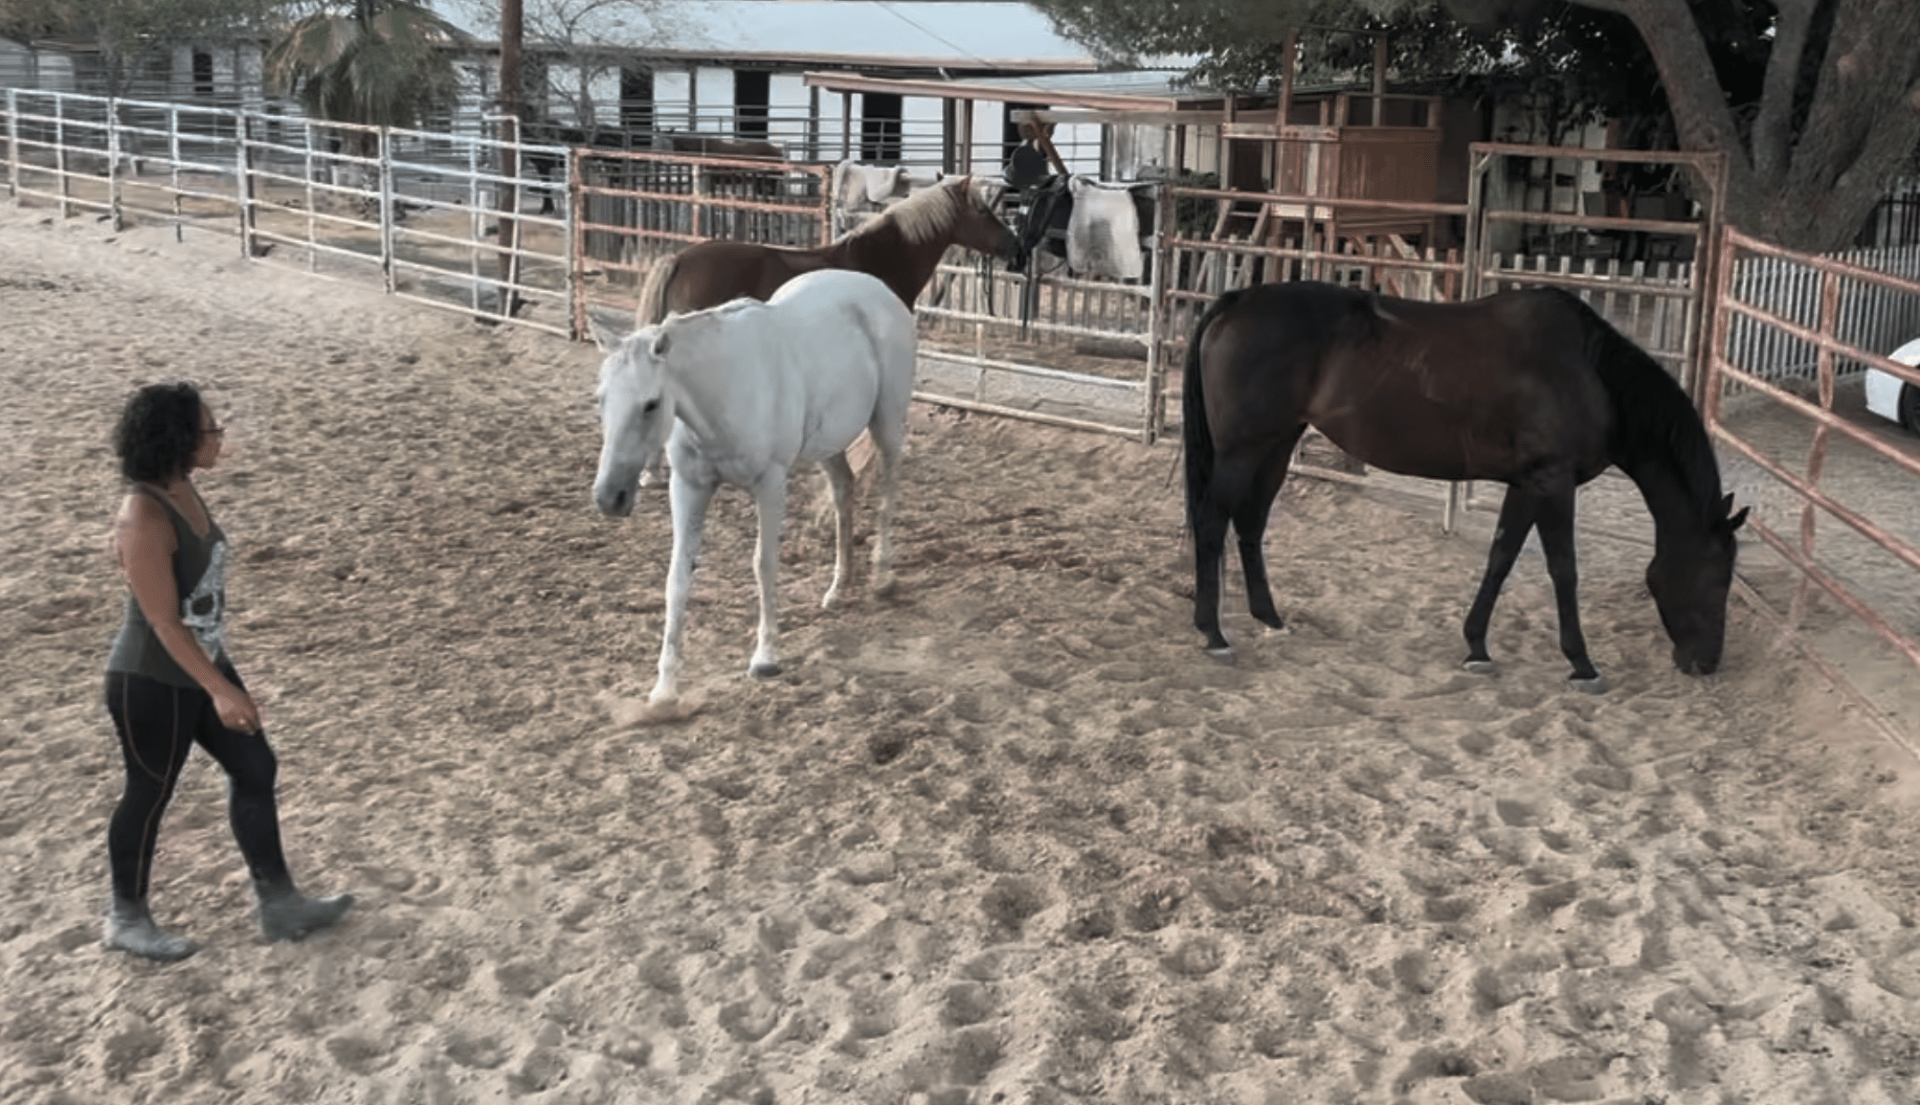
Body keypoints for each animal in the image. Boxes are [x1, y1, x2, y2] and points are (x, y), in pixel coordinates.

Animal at [590, 268, 917, 708]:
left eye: (651, 404)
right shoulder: (689, 487)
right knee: (844, 491)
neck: (723, 391)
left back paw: (882, 577)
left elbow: (764, 564)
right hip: (828, 443)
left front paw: (765, 658)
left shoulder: (770, 484)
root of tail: (879, 288)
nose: (610, 497)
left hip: (888, 422)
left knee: (888, 487)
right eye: (601, 398)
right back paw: (838, 587)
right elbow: (677, 577)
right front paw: (664, 689)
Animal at [1182, 281, 1748, 692]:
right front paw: (1582, 663)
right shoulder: (1553, 481)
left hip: (1276, 444)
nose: (1706, 662)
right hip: (1242, 451)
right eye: (1719, 575)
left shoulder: (1527, 484)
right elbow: (1564, 570)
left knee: (1250, 522)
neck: (1589, 374)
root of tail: (1236, 302)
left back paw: (1269, 617)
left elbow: (1501, 557)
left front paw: (1476, 646)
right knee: (1212, 523)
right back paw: (1213, 632)